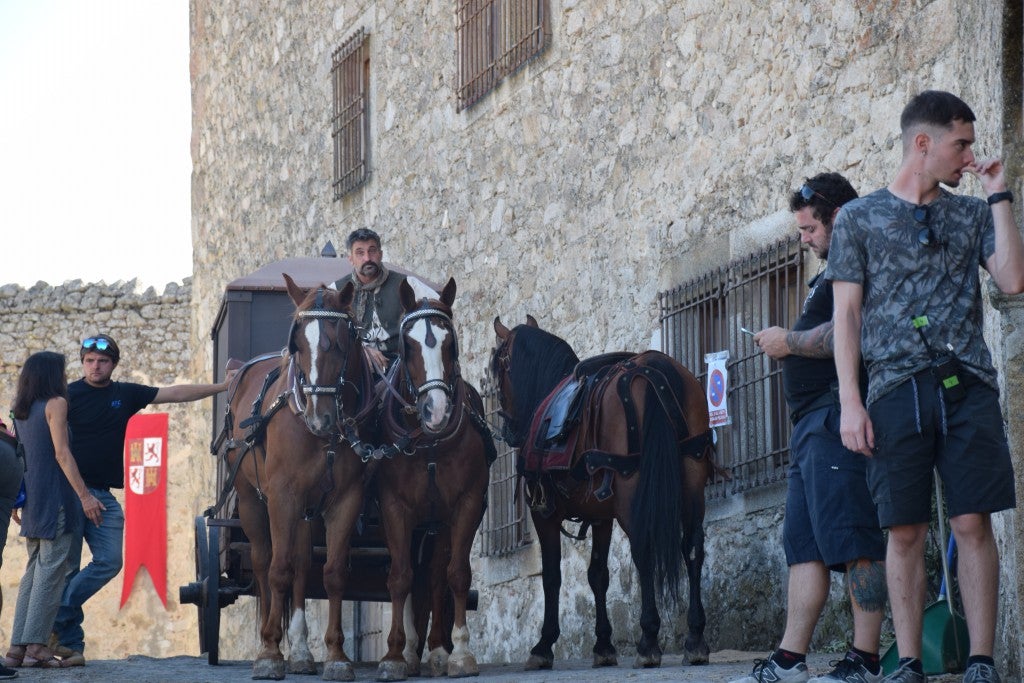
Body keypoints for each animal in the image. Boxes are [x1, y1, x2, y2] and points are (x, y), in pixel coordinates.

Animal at [223, 274, 376, 679]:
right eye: (297, 344)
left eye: (340, 342)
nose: (319, 417)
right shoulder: (281, 497)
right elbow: (278, 570)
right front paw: (270, 653)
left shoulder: (345, 500)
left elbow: (333, 572)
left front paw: (336, 656)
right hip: (250, 500)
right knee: (264, 562)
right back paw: (270, 638)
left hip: (307, 510)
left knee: (303, 565)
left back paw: (302, 651)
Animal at [376, 278, 495, 683]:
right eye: (406, 345)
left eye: (450, 343)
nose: (436, 411)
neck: (427, 443)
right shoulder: (394, 508)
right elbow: (399, 578)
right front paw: (394, 655)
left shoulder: (464, 506)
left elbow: (454, 575)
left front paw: (457, 652)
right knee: (412, 580)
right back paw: (410, 649)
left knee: (433, 579)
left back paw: (435, 650)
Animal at [491, 317, 716, 671]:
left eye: (498, 368)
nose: (509, 429)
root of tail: (653, 371)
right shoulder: (600, 517)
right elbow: (598, 574)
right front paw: (603, 644)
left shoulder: (545, 515)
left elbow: (552, 576)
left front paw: (543, 645)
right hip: (691, 483)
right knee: (692, 547)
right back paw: (695, 638)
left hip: (632, 495)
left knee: (644, 550)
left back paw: (648, 641)